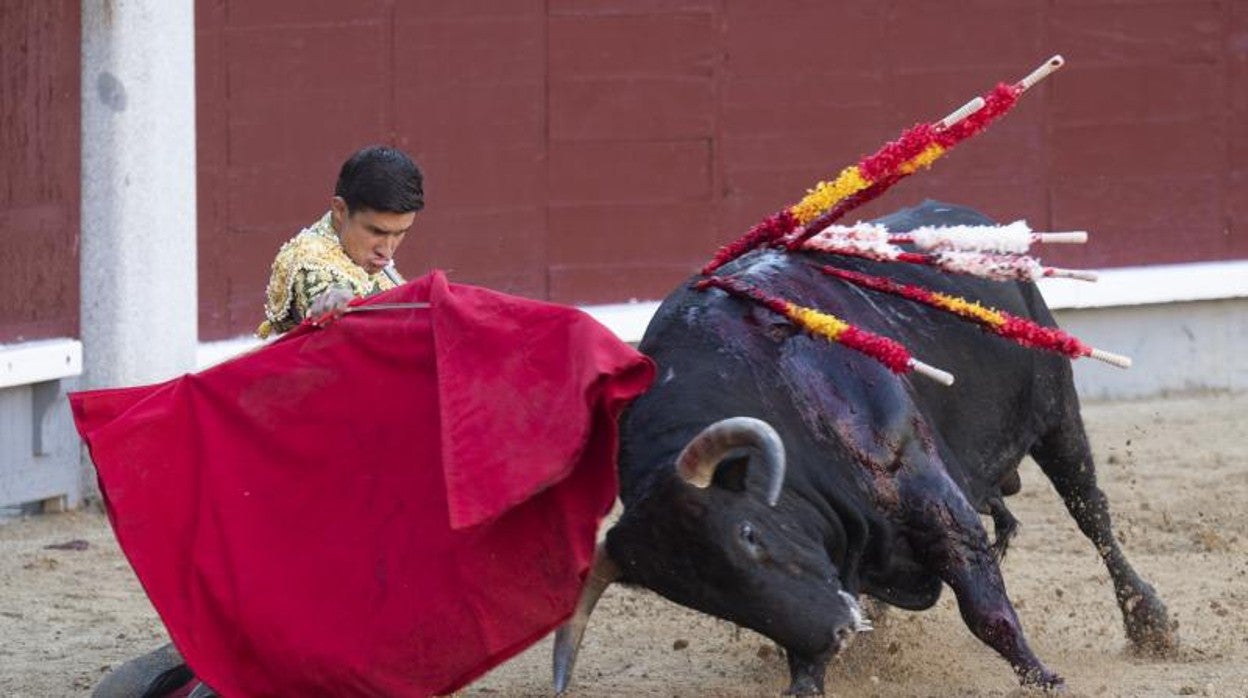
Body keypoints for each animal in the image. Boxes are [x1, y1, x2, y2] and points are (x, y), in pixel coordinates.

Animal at [556, 201, 1178, 694]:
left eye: (749, 533)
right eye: (703, 599)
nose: (835, 633)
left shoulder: (931, 497)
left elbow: (987, 612)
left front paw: (1044, 679)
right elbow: (803, 659)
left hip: (1057, 412)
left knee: (1092, 514)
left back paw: (1152, 625)